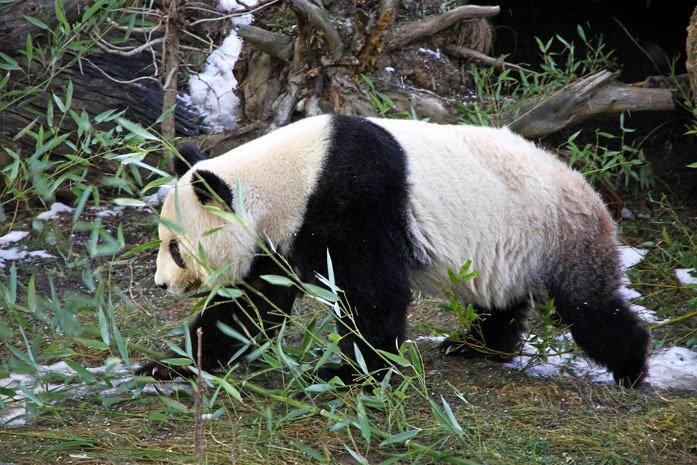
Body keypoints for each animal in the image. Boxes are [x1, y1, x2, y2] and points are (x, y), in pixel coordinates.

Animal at [136, 114, 650, 387]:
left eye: (175, 249)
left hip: (560, 234)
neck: (290, 175)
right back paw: (475, 347)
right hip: (511, 248)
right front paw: (168, 365)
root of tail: (591, 192)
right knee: (500, 300)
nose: (162, 284)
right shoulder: (278, 239)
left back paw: (631, 365)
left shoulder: (353, 199)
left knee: (589, 309)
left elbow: (373, 294)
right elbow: (250, 308)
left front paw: (353, 374)